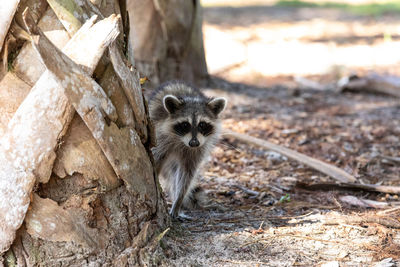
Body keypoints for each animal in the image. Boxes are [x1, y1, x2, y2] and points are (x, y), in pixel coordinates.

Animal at [148, 81, 227, 220]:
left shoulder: (198, 149)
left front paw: (178, 200)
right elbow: (156, 161)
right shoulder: (161, 138)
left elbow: (187, 174)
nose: (194, 143)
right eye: (185, 125)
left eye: (202, 124)